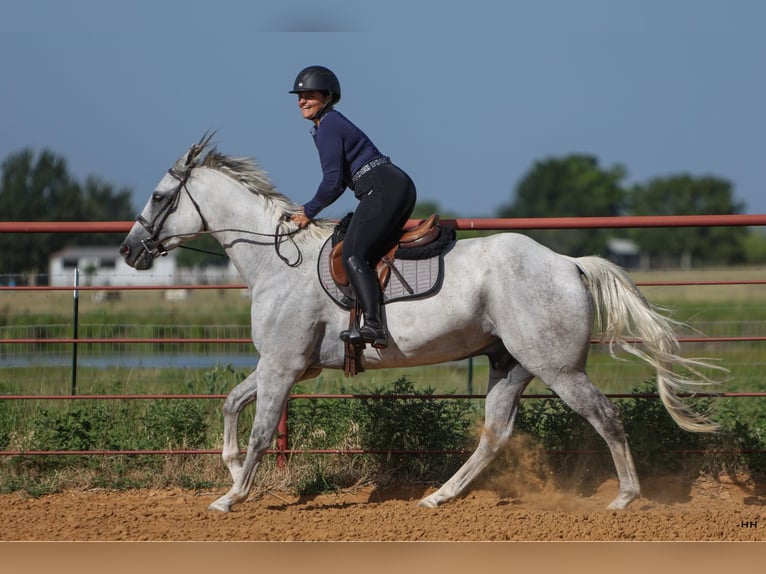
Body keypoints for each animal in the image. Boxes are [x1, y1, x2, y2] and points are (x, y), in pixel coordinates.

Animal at [120, 137, 728, 516]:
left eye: (158, 196)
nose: (129, 250)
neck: (276, 260)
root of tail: (570, 264)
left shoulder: (283, 368)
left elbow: (262, 431)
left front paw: (231, 498)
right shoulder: (283, 366)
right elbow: (231, 404)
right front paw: (228, 473)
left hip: (559, 368)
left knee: (605, 417)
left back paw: (625, 498)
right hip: (511, 365)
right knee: (495, 435)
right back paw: (438, 497)